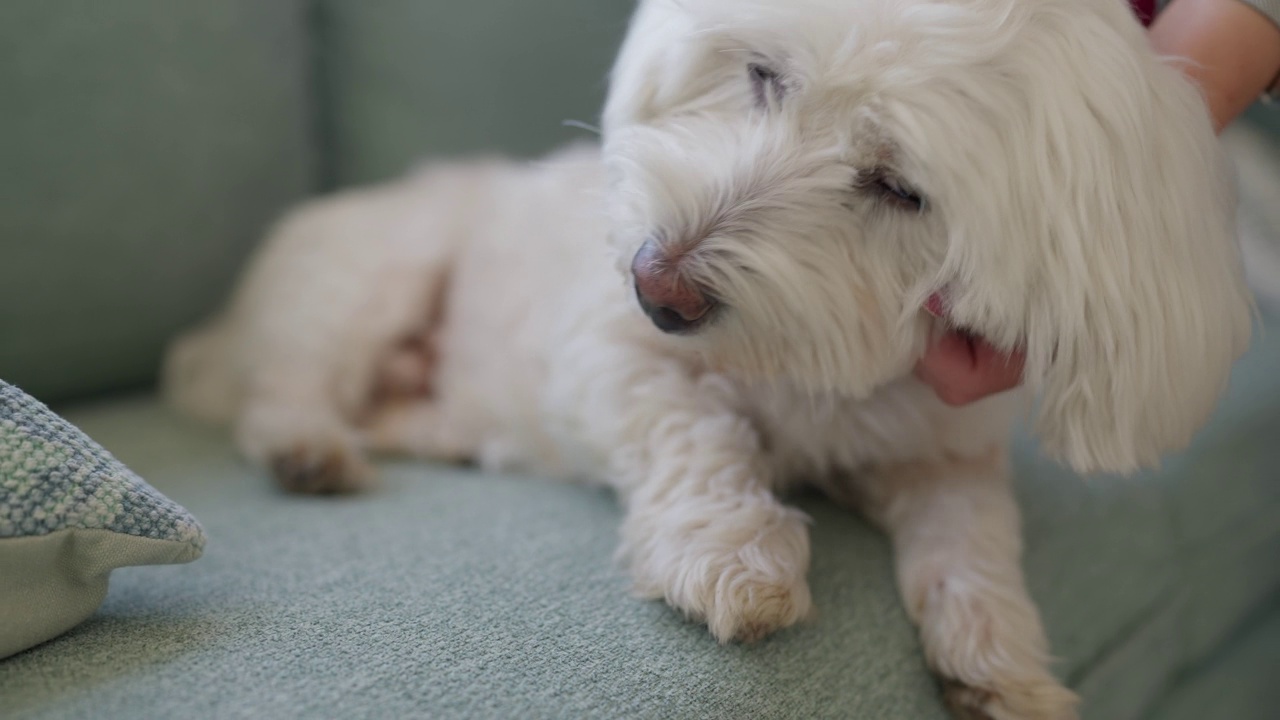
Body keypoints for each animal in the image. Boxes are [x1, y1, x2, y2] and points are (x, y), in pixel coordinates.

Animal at [162, 1, 1249, 712]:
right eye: (763, 76)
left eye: (899, 187)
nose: (657, 282)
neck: (809, 371)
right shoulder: (609, 357)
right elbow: (693, 431)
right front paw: (733, 552)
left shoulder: (937, 449)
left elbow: (971, 537)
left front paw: (997, 657)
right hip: (371, 274)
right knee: (287, 384)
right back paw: (306, 446)